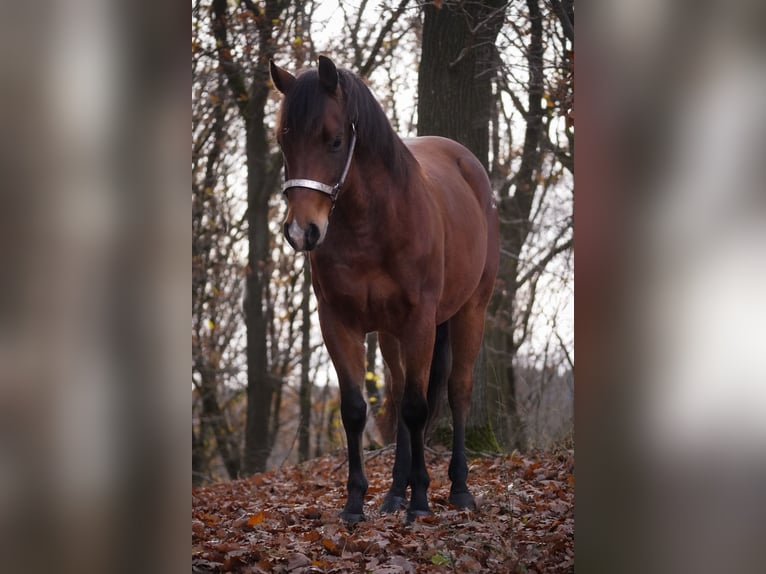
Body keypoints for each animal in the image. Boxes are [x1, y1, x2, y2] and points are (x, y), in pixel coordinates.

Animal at [270, 56, 499, 523]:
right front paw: (355, 503)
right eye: (284, 141)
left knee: (457, 392)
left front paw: (422, 501)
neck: (371, 224)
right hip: (391, 334)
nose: (302, 232)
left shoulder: (420, 321)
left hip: (470, 311)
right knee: (396, 391)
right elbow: (357, 410)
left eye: (335, 141)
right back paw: (394, 493)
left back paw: (459, 489)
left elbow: (416, 407)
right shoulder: (337, 322)